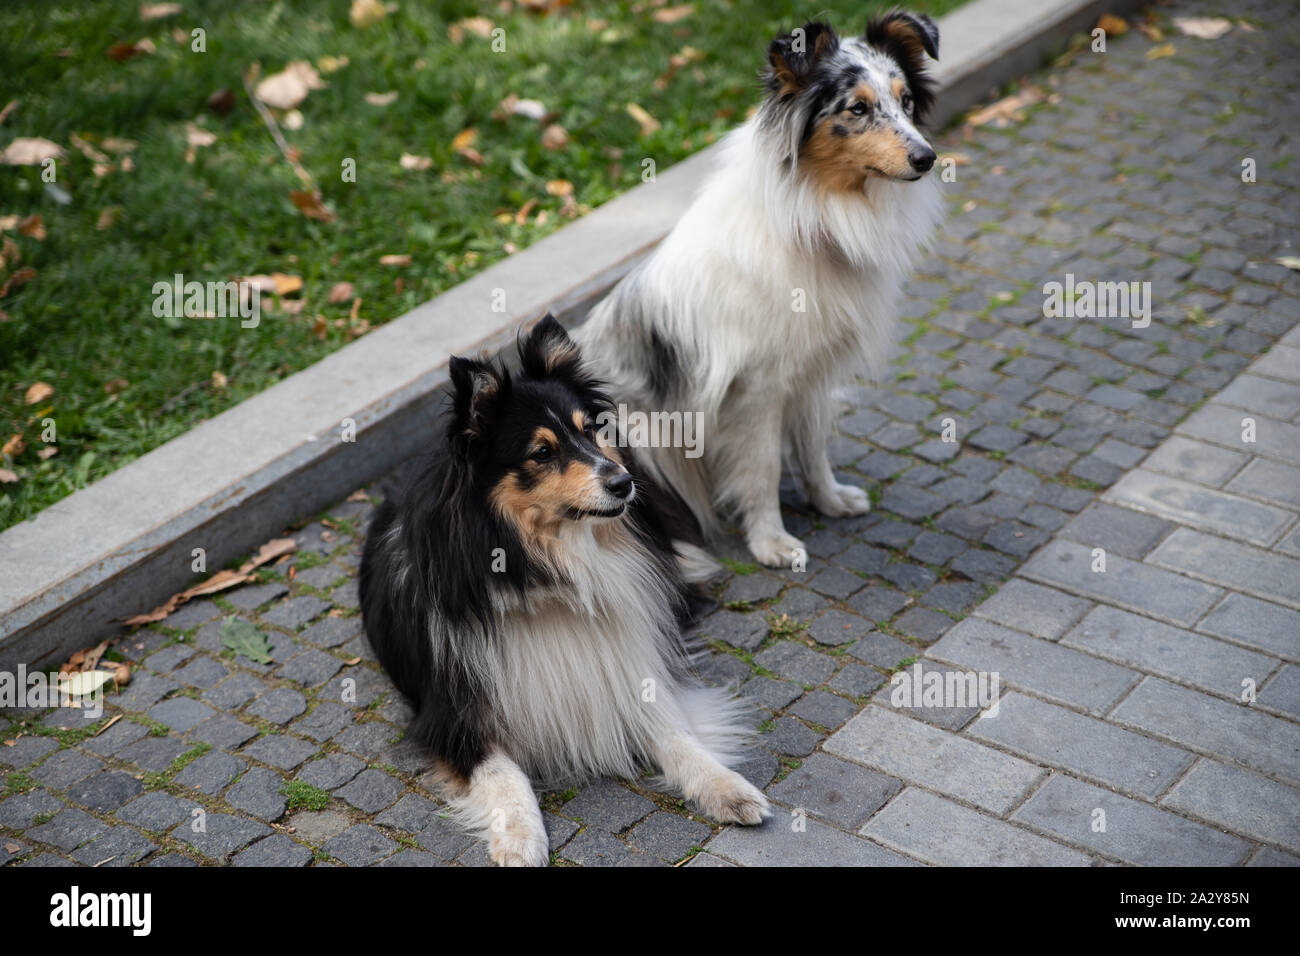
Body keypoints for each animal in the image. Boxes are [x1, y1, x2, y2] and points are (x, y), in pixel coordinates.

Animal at [579, 13, 946, 567]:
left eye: (905, 102)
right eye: (858, 108)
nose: (927, 158)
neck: (817, 215)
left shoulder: (811, 372)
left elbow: (812, 448)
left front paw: (829, 500)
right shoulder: (756, 389)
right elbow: (763, 469)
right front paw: (772, 541)